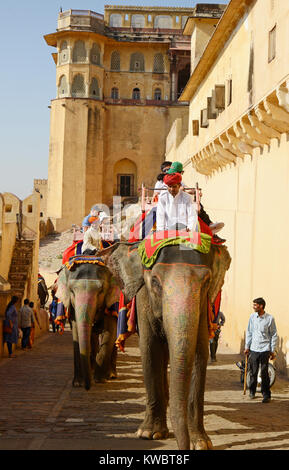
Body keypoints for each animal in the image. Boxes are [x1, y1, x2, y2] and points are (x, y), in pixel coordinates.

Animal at [56, 258, 119, 392]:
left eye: (101, 291)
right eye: (72, 291)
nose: (87, 387)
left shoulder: (112, 302)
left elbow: (111, 330)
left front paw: (100, 379)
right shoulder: (72, 307)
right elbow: (76, 332)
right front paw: (78, 383)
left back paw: (110, 374)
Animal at [100, 241, 231, 450]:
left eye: (206, 281)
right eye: (154, 281)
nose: (184, 448)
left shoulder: (203, 306)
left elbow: (199, 352)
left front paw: (201, 443)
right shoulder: (144, 298)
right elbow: (150, 348)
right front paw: (148, 434)